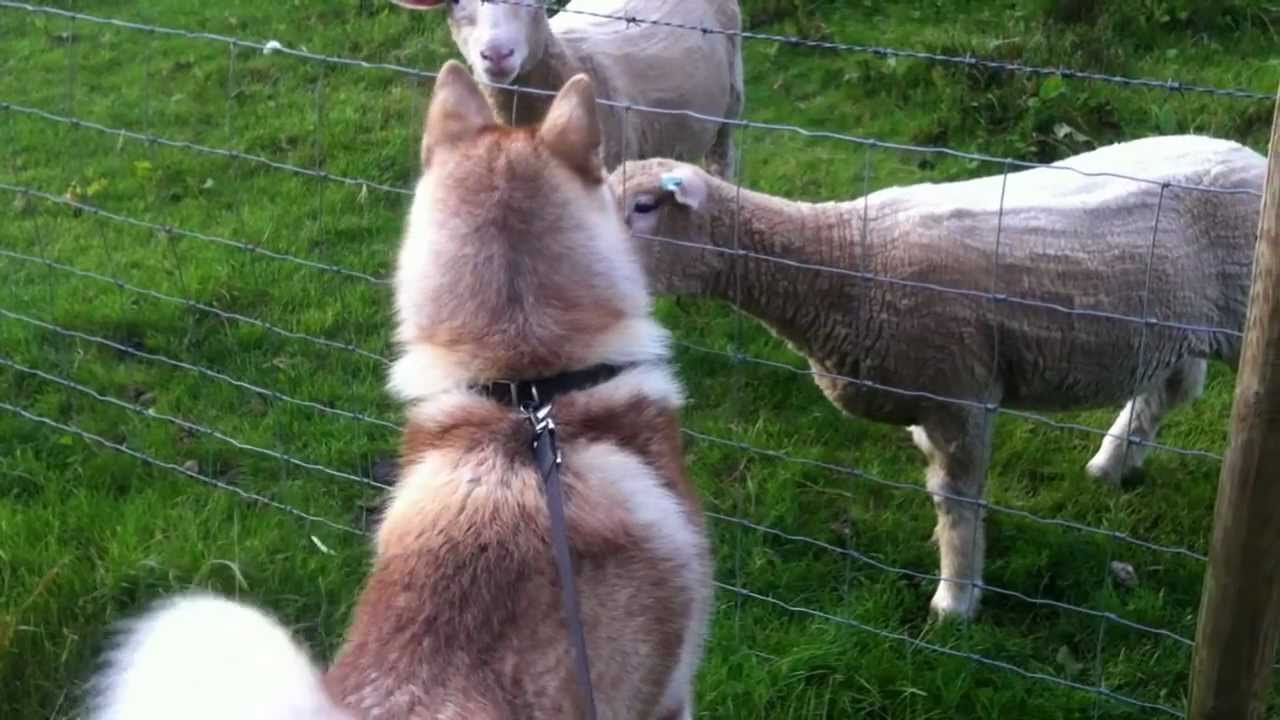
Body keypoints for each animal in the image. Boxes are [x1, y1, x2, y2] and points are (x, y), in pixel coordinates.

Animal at [607, 135, 1266, 620]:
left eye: (644, 207)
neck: (841, 261)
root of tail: (1248, 156)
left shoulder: (960, 392)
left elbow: (956, 500)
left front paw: (956, 600)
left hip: (1242, 313)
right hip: (1174, 320)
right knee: (1172, 387)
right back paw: (1111, 463)